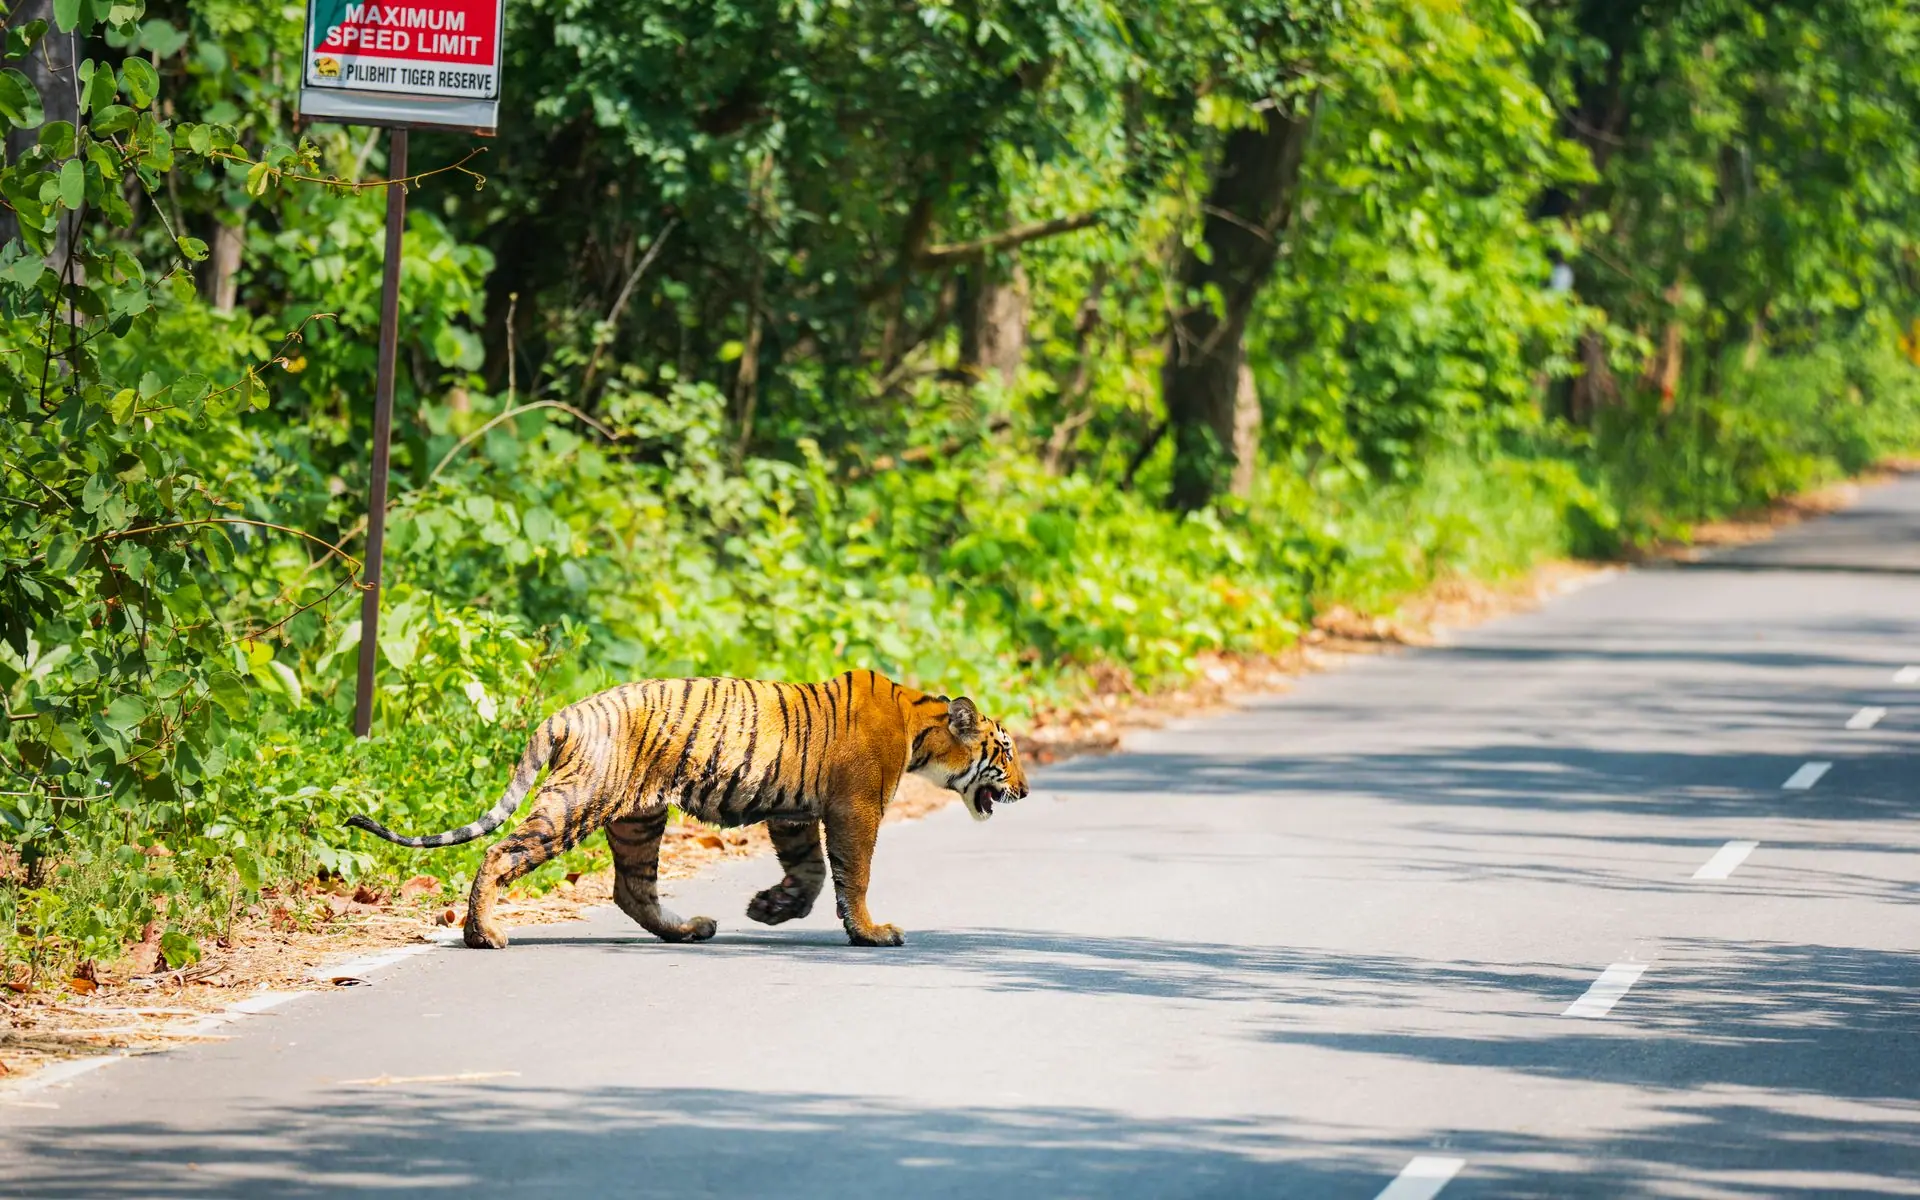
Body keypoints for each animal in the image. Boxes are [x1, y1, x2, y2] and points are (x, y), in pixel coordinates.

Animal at [346, 669, 1028, 950]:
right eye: (1006, 751)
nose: (1025, 789)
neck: (920, 728)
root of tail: (566, 713)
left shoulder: (794, 812)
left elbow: (810, 873)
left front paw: (771, 907)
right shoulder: (855, 809)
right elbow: (851, 876)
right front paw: (870, 932)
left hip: (638, 818)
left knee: (631, 888)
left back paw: (690, 929)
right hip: (576, 804)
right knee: (498, 851)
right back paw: (482, 934)